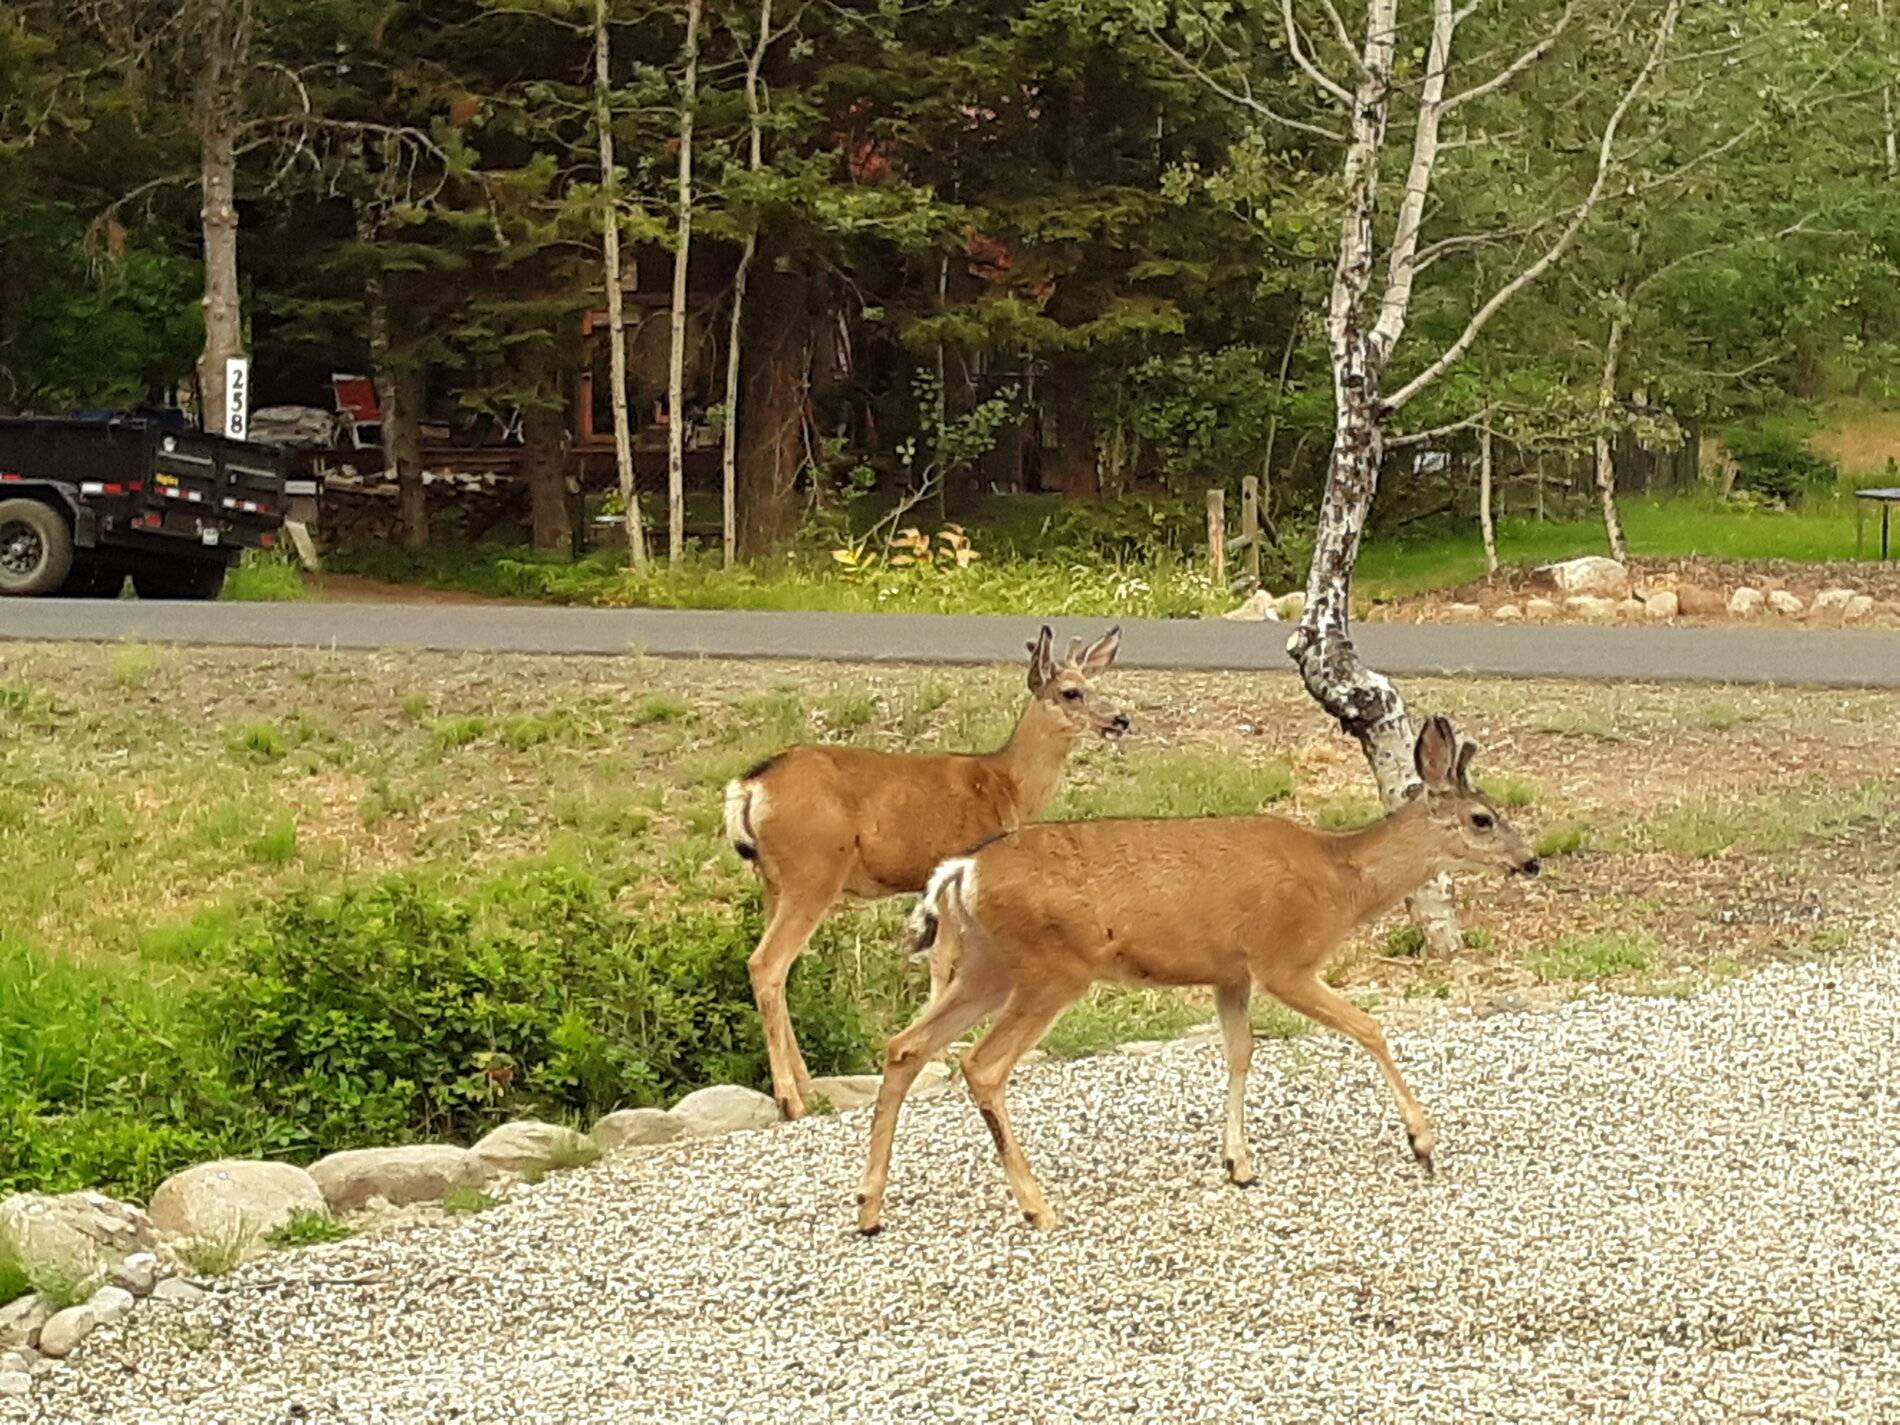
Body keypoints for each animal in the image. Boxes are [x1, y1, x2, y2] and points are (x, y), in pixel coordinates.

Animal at [725, 625, 1128, 1121]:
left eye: (1095, 683)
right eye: (1072, 691)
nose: (1121, 719)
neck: (1008, 786)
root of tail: (749, 786)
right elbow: (942, 962)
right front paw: (941, 1049)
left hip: (773, 880)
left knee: (780, 968)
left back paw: (806, 1082)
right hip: (812, 871)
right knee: (766, 963)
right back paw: (790, 1099)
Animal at [855, 714, 1539, 1234]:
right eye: (1482, 818)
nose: (1531, 861)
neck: (1341, 881)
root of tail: (962, 870)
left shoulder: (1230, 972)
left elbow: (1239, 1053)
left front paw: (1239, 1163)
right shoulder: (1284, 959)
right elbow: (1369, 1027)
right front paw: (1423, 1143)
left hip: (988, 965)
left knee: (905, 1045)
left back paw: (869, 1209)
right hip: (1049, 968)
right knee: (982, 1065)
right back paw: (1036, 1207)